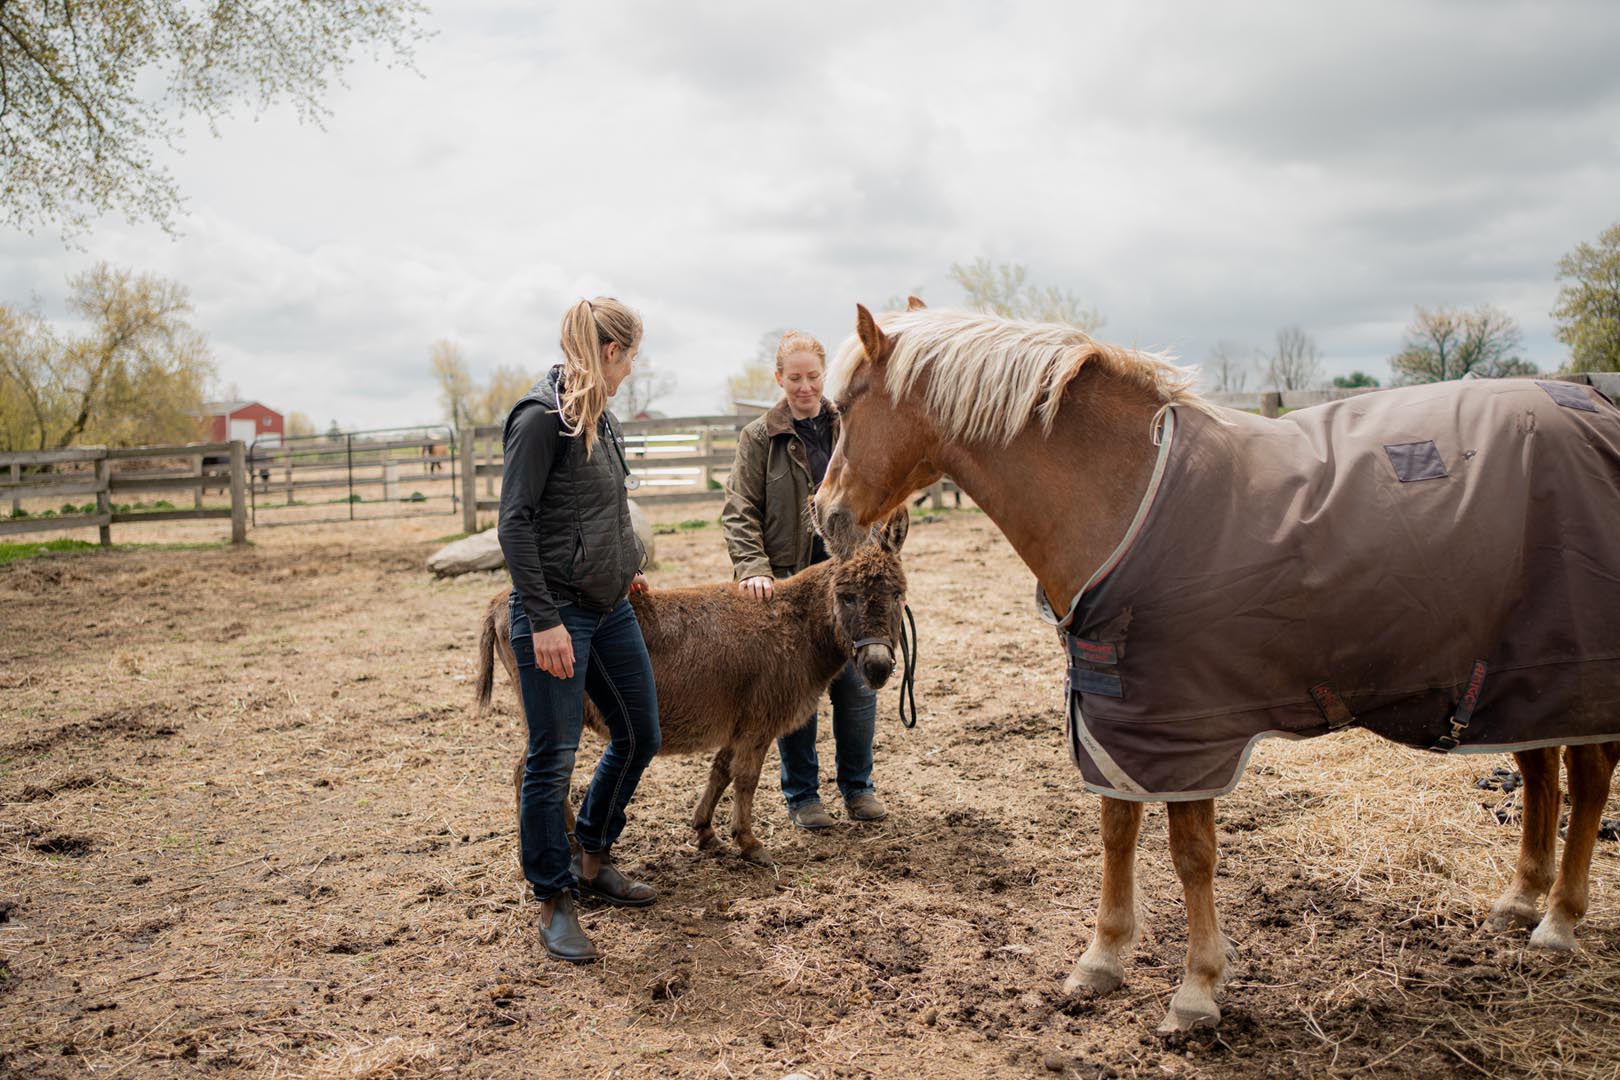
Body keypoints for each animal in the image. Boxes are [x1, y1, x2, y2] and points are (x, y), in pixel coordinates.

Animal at [473, 510, 909, 866]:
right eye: (846, 596)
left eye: (898, 594)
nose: (877, 667)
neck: (794, 623)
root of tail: (497, 601)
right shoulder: (758, 723)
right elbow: (746, 779)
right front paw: (749, 843)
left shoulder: (738, 722)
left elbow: (720, 772)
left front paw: (706, 833)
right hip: (557, 706)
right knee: (527, 773)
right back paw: (564, 848)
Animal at [811, 298, 1620, 1033]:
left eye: (843, 408)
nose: (824, 513)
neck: (1123, 490)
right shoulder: (1120, 713)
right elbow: (1117, 827)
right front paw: (1102, 960)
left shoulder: (1187, 722)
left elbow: (1191, 853)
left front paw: (1196, 990)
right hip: (1516, 675)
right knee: (1541, 773)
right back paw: (1519, 902)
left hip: (1574, 666)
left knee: (1586, 780)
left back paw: (1559, 923)